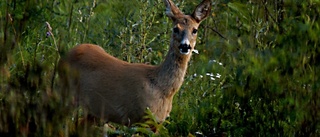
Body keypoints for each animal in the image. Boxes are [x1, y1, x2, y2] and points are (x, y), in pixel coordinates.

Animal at [58, 0, 211, 125]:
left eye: (195, 30)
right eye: (175, 28)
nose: (185, 46)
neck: (162, 88)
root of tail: (66, 55)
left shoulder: (157, 123)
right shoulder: (142, 118)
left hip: (95, 113)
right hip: (67, 94)